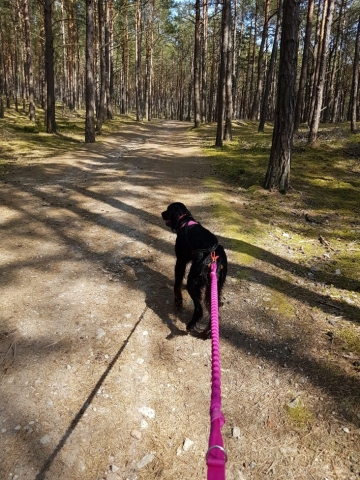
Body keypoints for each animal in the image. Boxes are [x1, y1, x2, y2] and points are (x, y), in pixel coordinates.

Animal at [162, 202, 226, 334]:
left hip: (193, 281)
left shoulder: (181, 261)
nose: (161, 213)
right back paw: (208, 331)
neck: (185, 220)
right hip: (214, 286)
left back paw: (191, 325)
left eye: (167, 210)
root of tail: (214, 256)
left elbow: (177, 283)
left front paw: (178, 301)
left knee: (199, 309)